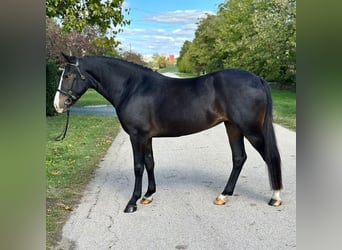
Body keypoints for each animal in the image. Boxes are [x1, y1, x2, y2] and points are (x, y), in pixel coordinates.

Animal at [54, 53, 284, 213]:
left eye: (70, 75)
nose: (57, 105)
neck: (132, 88)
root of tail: (257, 79)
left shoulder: (136, 136)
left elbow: (138, 167)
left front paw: (132, 202)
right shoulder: (146, 137)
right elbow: (150, 163)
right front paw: (148, 195)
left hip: (250, 129)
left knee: (269, 156)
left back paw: (275, 197)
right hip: (232, 127)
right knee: (239, 158)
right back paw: (223, 196)